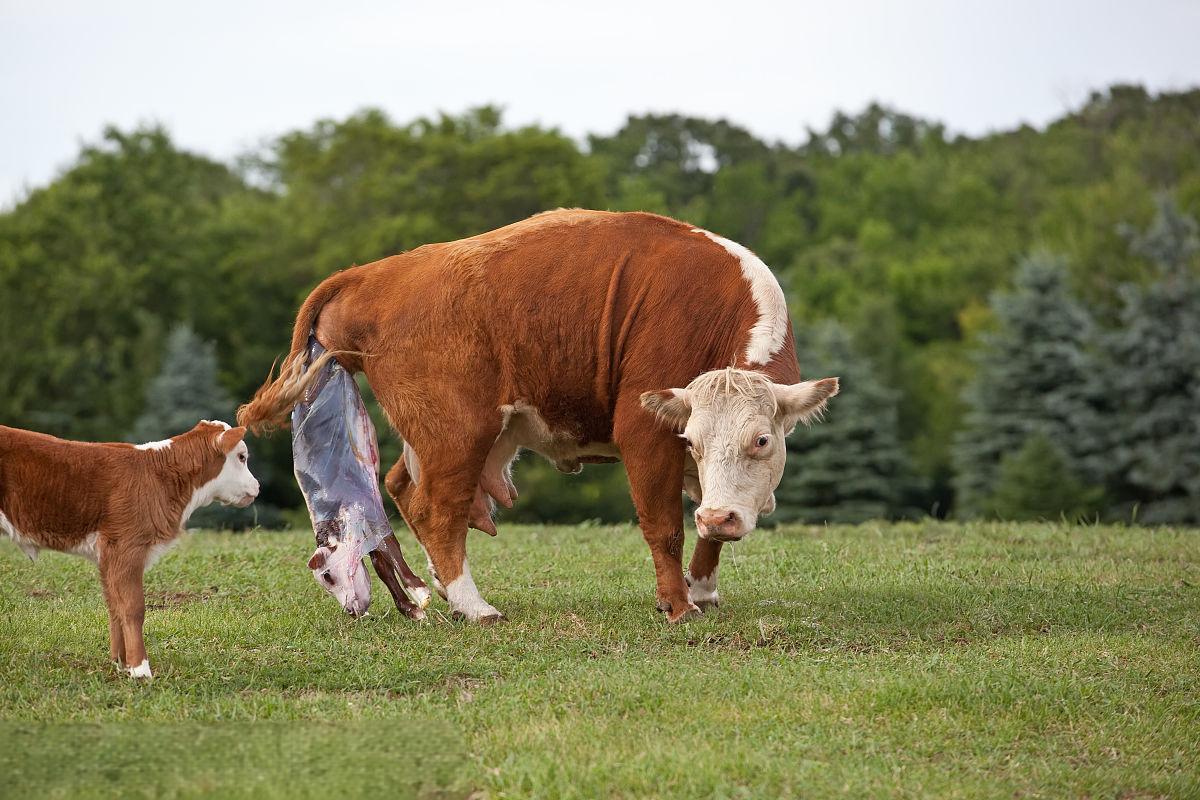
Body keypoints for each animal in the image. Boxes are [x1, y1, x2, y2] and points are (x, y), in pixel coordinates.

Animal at [0, 419, 260, 676]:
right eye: (242, 457)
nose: (257, 486)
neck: (161, 477)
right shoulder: (127, 546)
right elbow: (133, 607)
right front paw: (140, 669)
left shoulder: (108, 554)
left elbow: (115, 605)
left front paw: (120, 663)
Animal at [238, 209, 840, 623]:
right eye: (690, 440)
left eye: (761, 440)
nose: (722, 518)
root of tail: (371, 275)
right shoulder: (644, 431)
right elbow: (664, 525)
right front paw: (678, 605)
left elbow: (707, 525)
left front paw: (705, 588)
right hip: (457, 431)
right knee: (436, 507)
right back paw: (473, 605)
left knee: (402, 486)